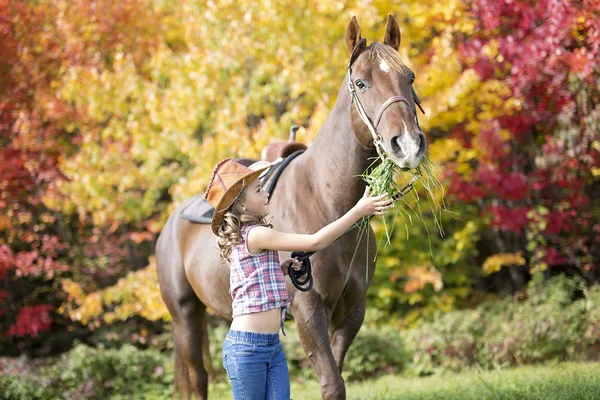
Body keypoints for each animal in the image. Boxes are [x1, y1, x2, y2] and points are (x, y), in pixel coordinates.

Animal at [155, 14, 426, 398]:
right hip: (185, 317)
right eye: (361, 83)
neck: (325, 199)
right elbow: (332, 384)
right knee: (197, 378)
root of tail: (170, 225)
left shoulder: (351, 314)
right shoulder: (308, 310)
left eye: (410, 77)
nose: (408, 144)